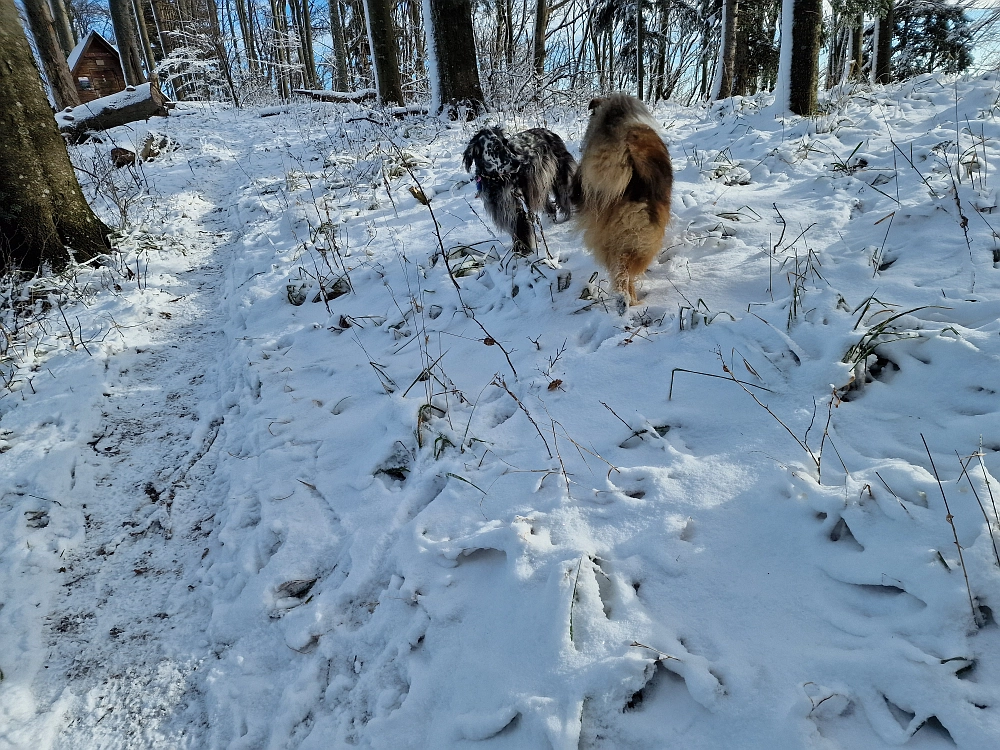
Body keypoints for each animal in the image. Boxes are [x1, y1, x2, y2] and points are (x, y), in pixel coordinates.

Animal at [572, 94, 672, 312]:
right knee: (625, 270)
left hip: (605, 237)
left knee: (617, 269)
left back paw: (624, 300)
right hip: (641, 237)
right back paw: (630, 301)